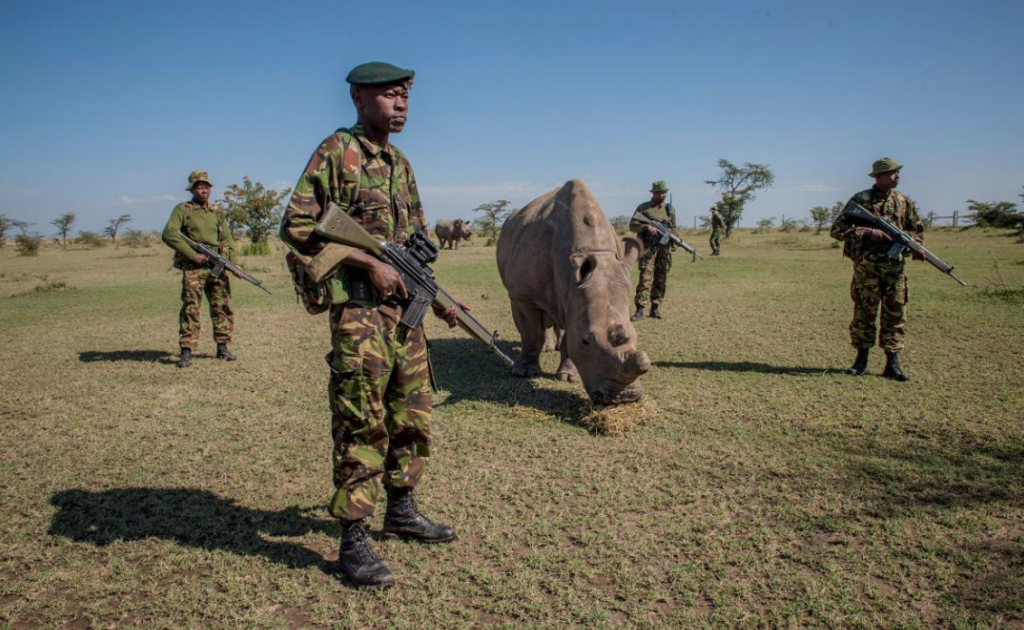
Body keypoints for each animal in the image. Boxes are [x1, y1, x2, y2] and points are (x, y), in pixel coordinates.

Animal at [496, 180, 650, 405]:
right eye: (586, 341)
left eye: (636, 336)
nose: (624, 398)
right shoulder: (523, 296)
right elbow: (531, 334)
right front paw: (523, 373)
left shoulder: (576, 296)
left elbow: (570, 335)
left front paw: (569, 377)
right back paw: (546, 349)